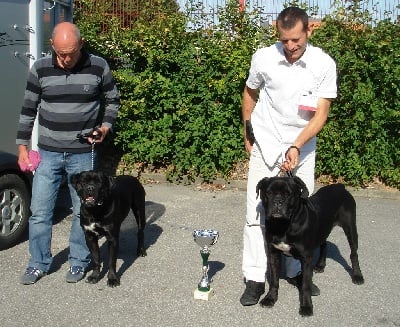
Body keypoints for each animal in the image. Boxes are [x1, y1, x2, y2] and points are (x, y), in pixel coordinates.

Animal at [256, 177, 366, 318]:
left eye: (288, 194)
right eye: (268, 193)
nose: (278, 202)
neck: (283, 225)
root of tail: (340, 187)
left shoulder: (306, 258)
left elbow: (305, 285)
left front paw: (306, 307)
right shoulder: (274, 253)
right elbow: (274, 281)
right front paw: (270, 298)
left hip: (350, 227)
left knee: (354, 253)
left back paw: (357, 276)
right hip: (324, 229)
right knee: (324, 245)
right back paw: (320, 265)